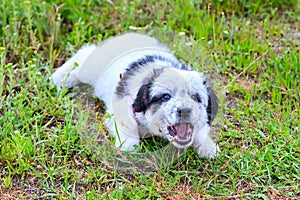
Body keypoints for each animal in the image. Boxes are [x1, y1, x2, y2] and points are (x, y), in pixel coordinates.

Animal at [51, 32, 219, 159]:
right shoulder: (120, 107)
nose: (185, 110)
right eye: (165, 97)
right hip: (92, 69)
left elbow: (201, 129)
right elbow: (127, 124)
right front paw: (128, 146)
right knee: (84, 54)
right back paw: (58, 78)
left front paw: (208, 147)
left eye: (195, 98)